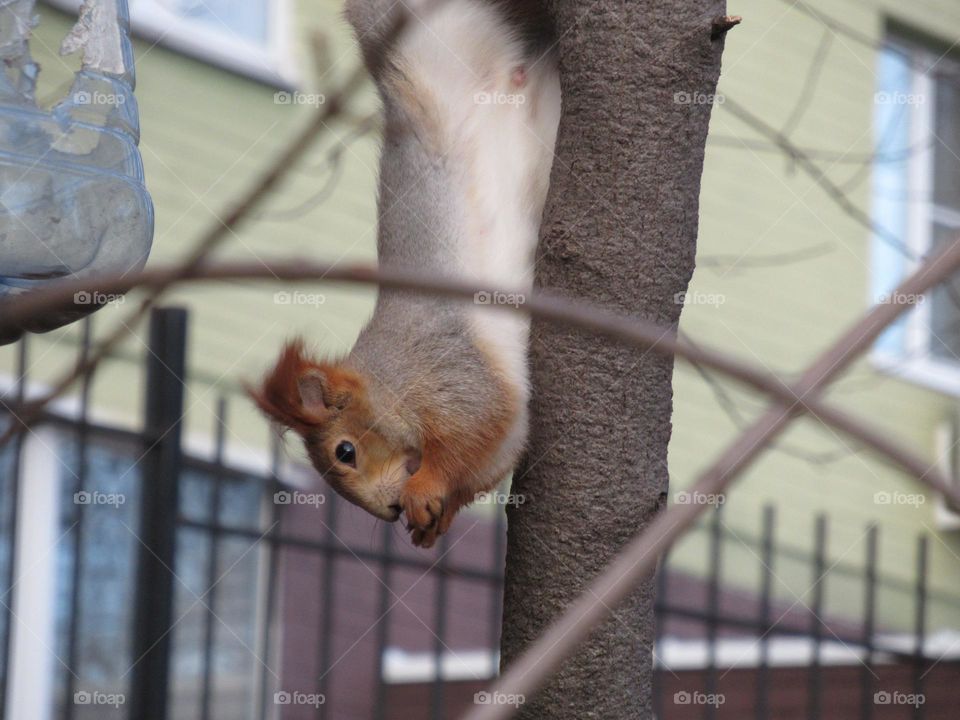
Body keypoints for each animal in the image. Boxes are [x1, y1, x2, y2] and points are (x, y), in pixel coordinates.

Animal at [250, 0, 560, 548]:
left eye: (345, 452)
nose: (388, 510)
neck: (390, 379)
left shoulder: (452, 374)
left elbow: (478, 427)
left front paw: (425, 489)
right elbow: (491, 457)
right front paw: (436, 519)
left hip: (437, 44)